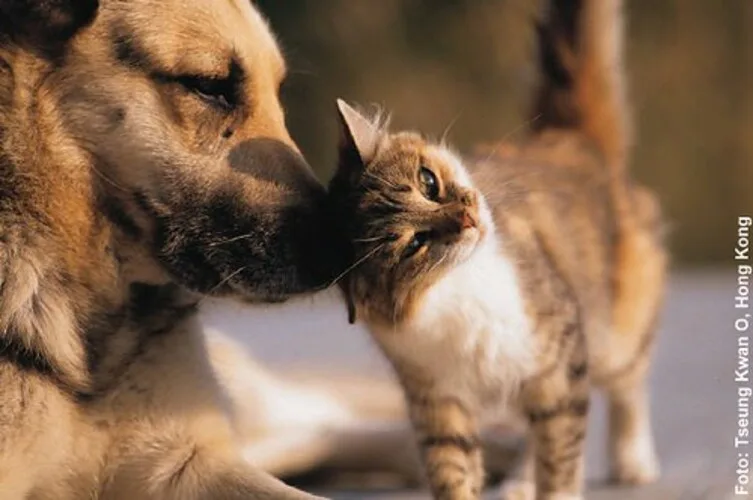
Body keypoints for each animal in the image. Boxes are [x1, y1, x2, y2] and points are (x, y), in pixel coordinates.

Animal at [326, 1, 668, 498]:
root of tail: (571, 139)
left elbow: (561, 460)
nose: (468, 219)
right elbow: (454, 470)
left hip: (616, 334)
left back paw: (632, 460)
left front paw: (560, 486)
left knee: (629, 385)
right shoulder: (438, 400)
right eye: (415, 245)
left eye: (429, 182)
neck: (459, 289)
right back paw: (520, 484)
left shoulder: (559, 364)